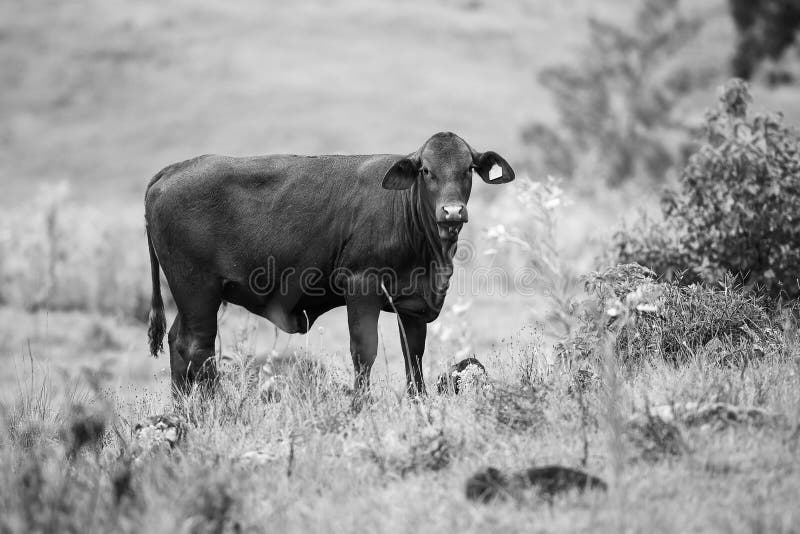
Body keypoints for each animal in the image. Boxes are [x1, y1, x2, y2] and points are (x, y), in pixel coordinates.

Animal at [145, 132, 514, 396]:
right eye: (426, 170)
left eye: (467, 169)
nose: (452, 212)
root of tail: (173, 169)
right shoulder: (361, 285)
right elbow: (364, 351)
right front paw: (360, 407)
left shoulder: (412, 303)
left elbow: (414, 356)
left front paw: (418, 403)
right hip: (197, 291)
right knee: (197, 349)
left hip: (193, 298)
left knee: (179, 344)